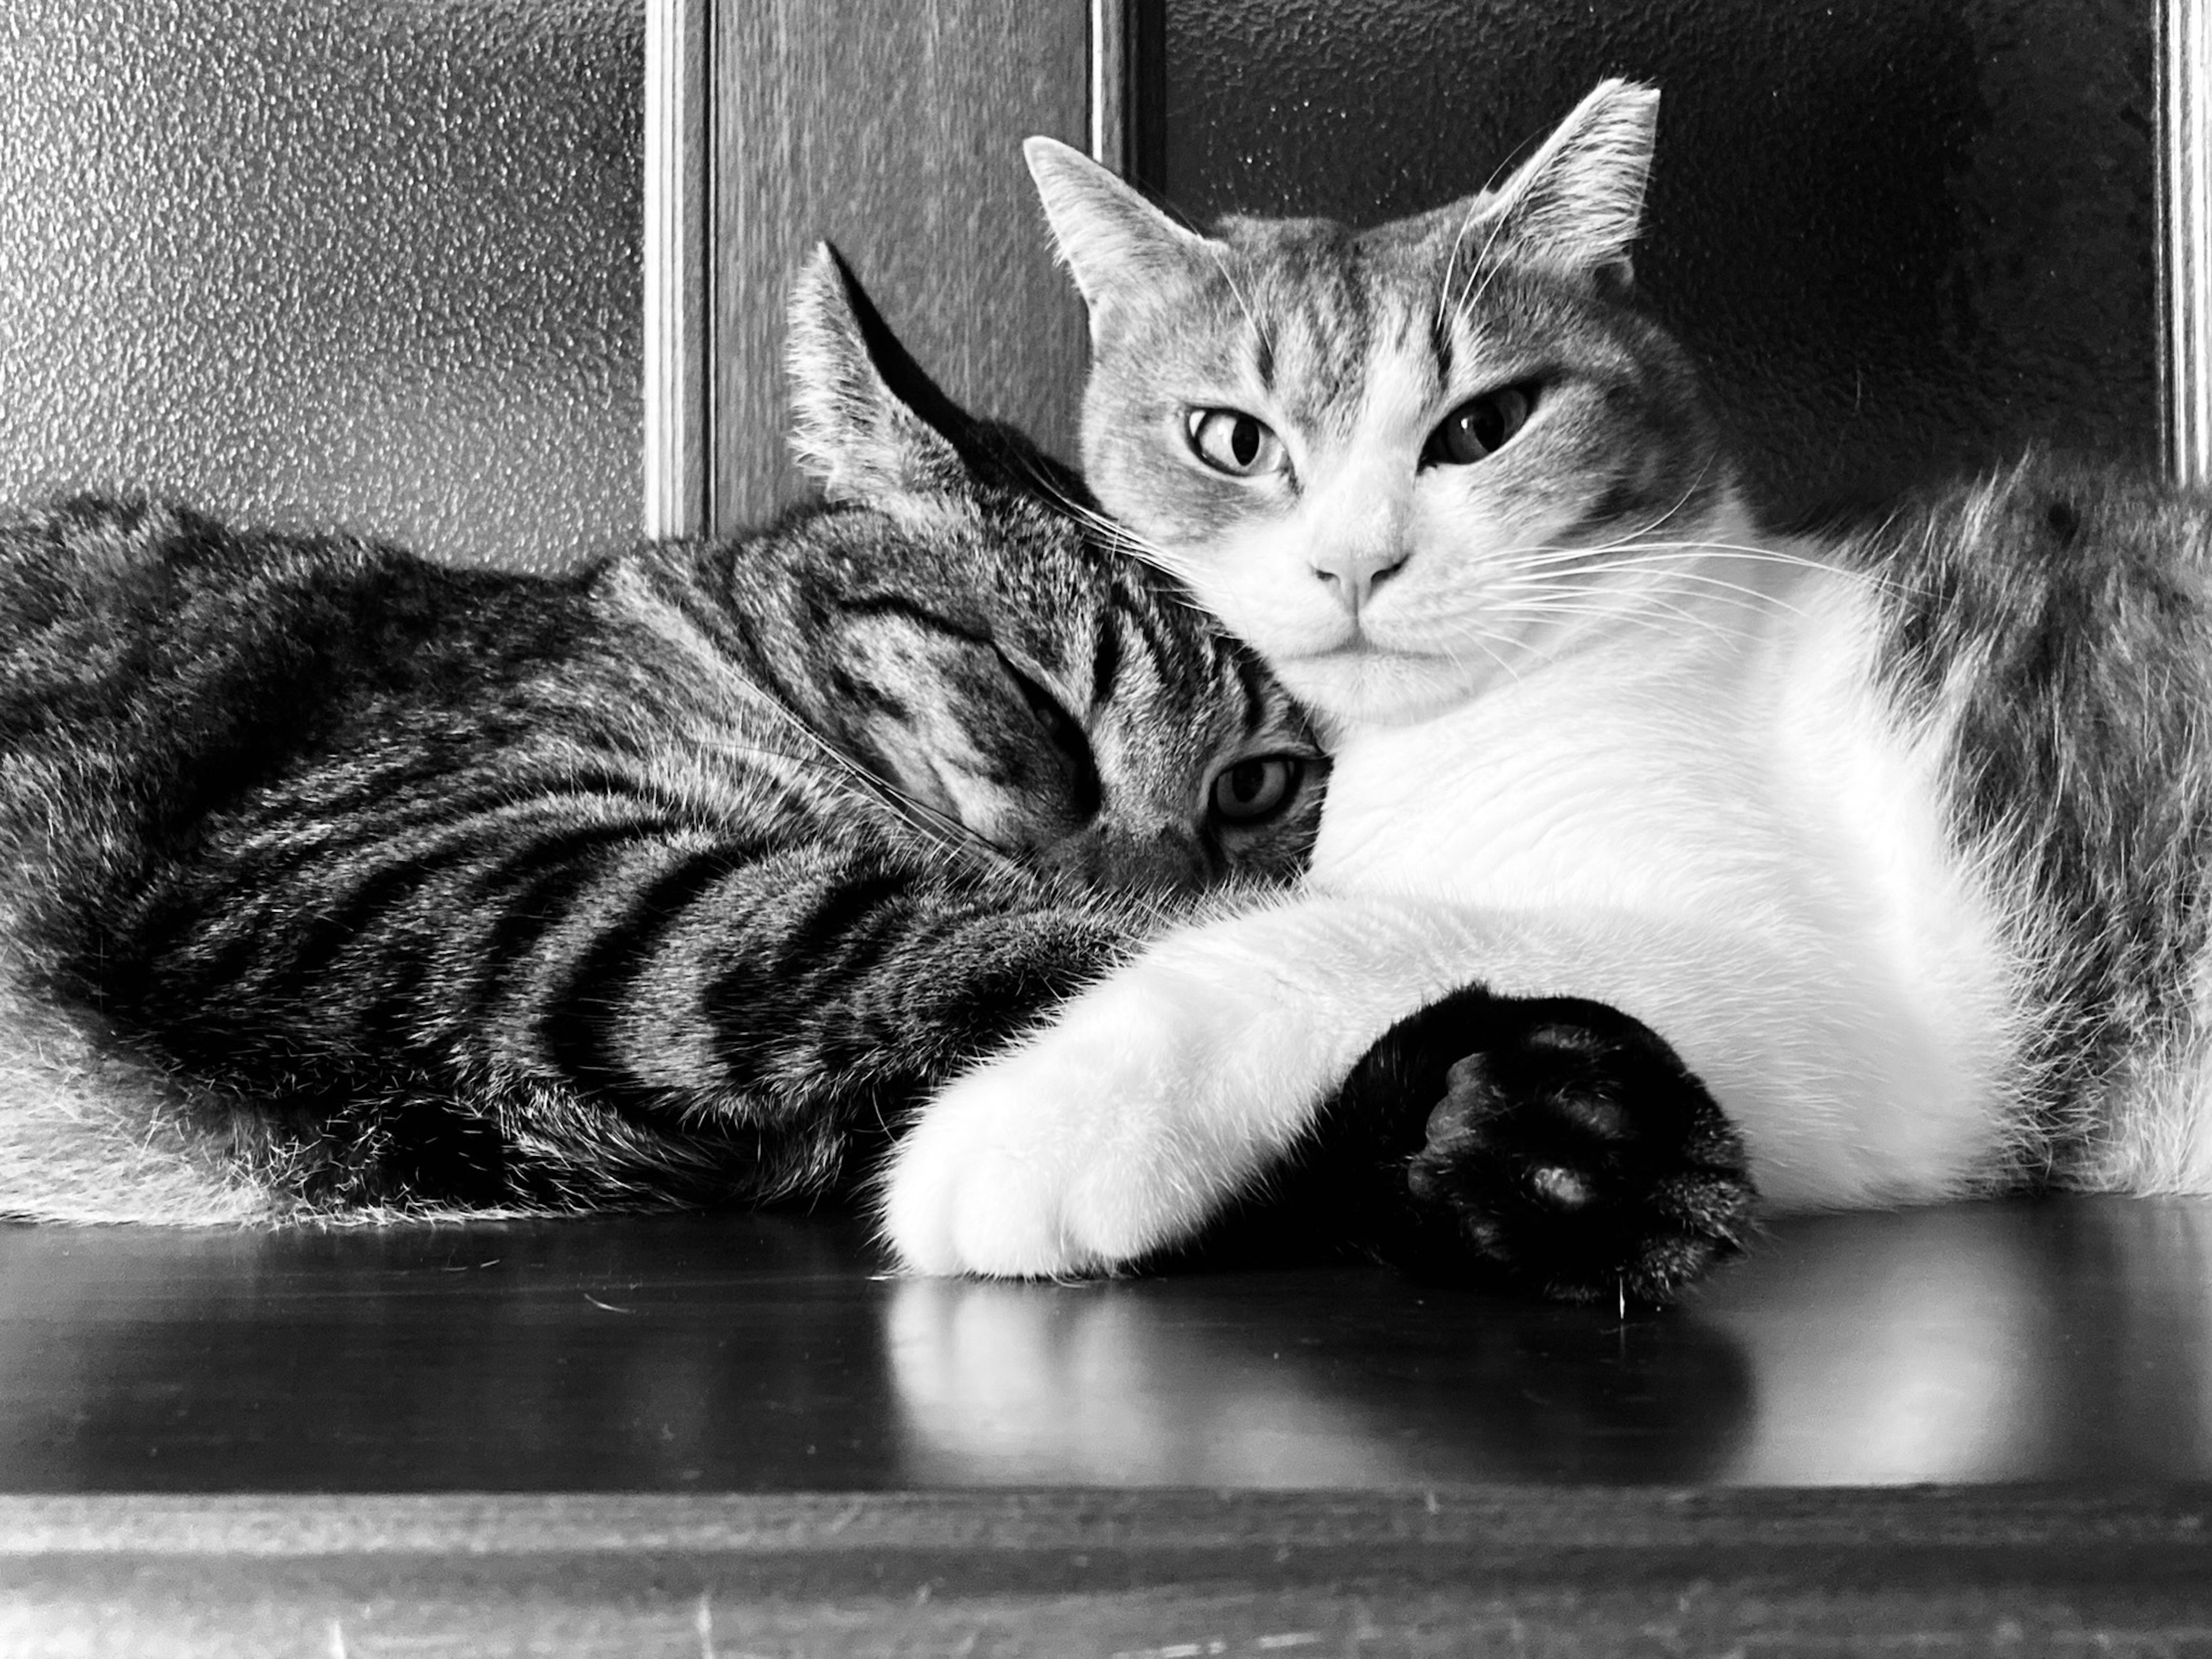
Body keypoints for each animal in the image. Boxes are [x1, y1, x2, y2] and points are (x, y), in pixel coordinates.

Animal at [871, 84, 2212, 1309]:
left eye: (1486, 427)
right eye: (1233, 441)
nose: (1355, 562)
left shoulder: (1857, 1017)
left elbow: (1373, 930)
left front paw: (1037, 1115)